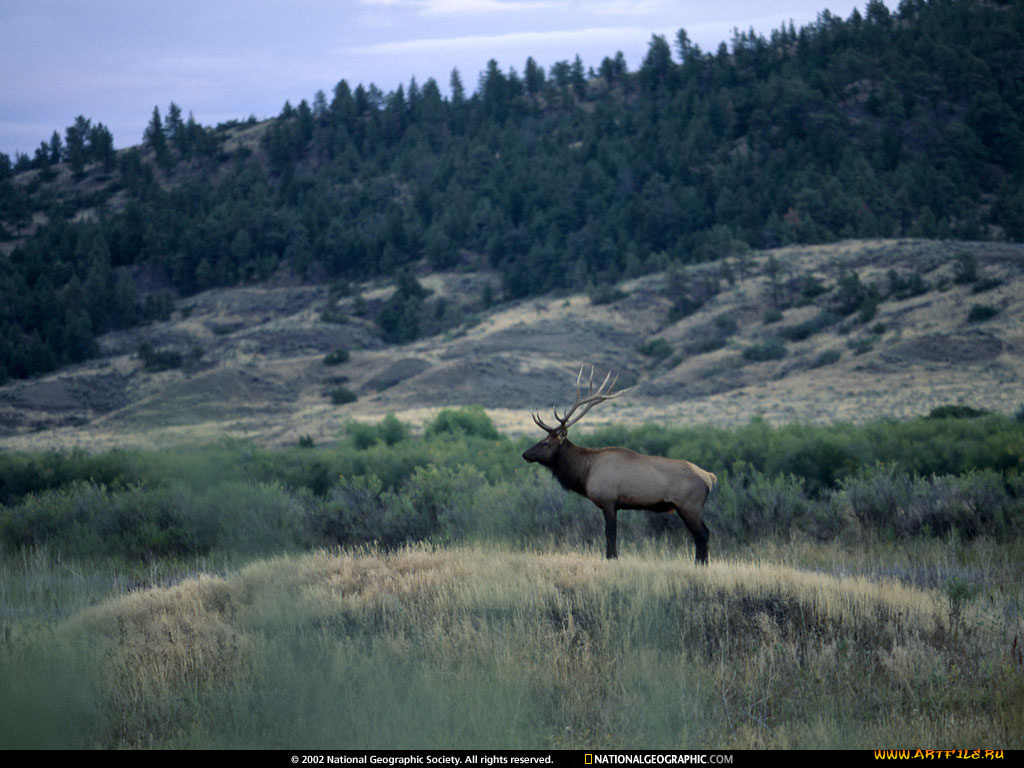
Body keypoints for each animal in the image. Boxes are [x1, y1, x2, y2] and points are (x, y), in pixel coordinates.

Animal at [524, 366, 716, 565]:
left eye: (545, 443)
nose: (525, 454)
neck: (585, 472)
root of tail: (710, 477)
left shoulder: (608, 500)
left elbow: (610, 535)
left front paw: (611, 558)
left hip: (689, 505)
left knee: (703, 534)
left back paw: (701, 564)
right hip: (689, 508)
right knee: (701, 535)